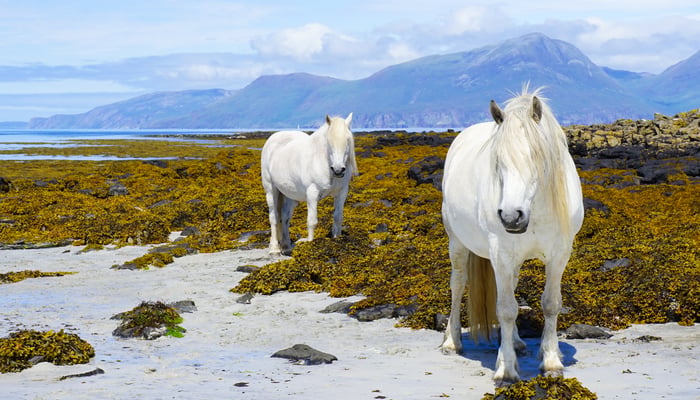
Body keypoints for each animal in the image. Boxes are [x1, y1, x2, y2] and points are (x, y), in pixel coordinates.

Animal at [261, 113, 357, 256]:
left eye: (348, 141)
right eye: (329, 142)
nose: (338, 170)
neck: (322, 161)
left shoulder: (342, 193)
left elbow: (338, 217)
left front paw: (337, 240)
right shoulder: (312, 193)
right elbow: (312, 221)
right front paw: (311, 244)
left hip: (290, 195)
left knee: (284, 216)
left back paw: (286, 246)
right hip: (271, 190)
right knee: (274, 217)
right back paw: (274, 249)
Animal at [439, 88, 584, 386]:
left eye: (536, 158)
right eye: (498, 163)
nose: (510, 216)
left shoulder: (559, 254)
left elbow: (550, 304)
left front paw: (551, 361)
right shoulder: (501, 253)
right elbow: (505, 308)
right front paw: (506, 370)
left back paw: (516, 342)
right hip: (457, 243)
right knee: (457, 284)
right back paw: (452, 341)